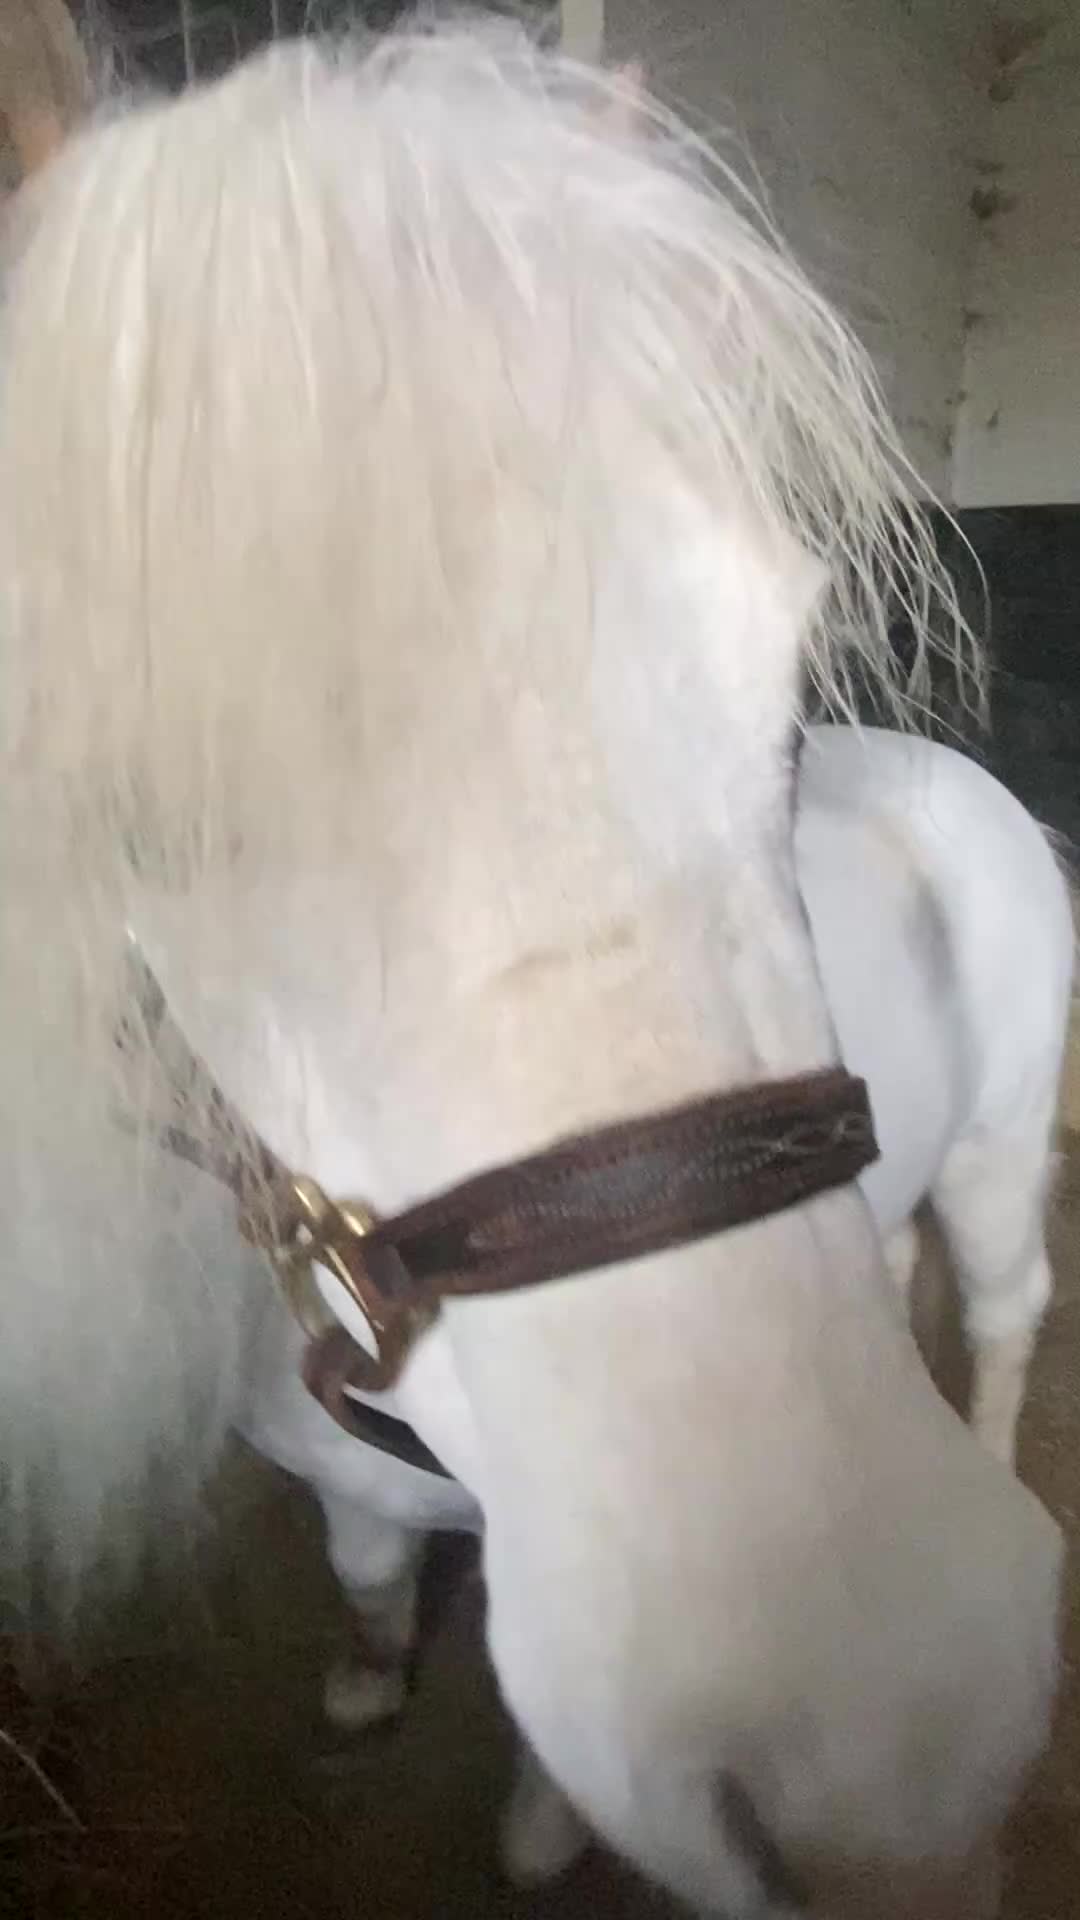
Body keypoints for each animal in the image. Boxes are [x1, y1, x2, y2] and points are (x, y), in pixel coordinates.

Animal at [0, 24, 1068, 1917]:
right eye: (143, 816)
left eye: (782, 692)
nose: (903, 1756)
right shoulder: (354, 1489)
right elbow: (365, 1569)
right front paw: (366, 1676)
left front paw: (538, 1831)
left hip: (1009, 1144)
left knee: (1010, 1309)